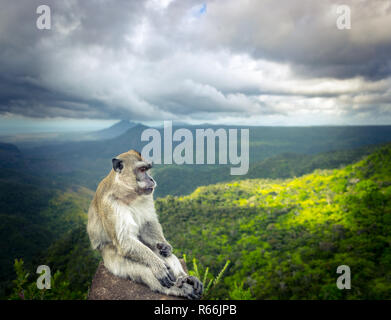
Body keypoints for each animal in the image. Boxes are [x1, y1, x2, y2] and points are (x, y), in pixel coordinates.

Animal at [87, 149, 204, 298]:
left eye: (147, 169)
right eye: (142, 170)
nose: (151, 179)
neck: (128, 194)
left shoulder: (147, 195)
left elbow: (148, 224)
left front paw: (167, 246)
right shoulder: (110, 204)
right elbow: (125, 241)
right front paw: (157, 265)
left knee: (160, 251)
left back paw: (185, 278)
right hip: (112, 260)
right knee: (142, 268)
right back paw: (182, 288)